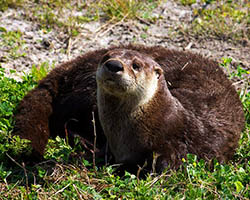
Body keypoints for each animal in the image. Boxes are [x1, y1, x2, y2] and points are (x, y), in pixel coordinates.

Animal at [13, 44, 244, 171]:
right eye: (106, 58)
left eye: (136, 65)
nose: (114, 65)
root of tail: (66, 71)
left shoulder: (174, 145)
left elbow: (165, 166)